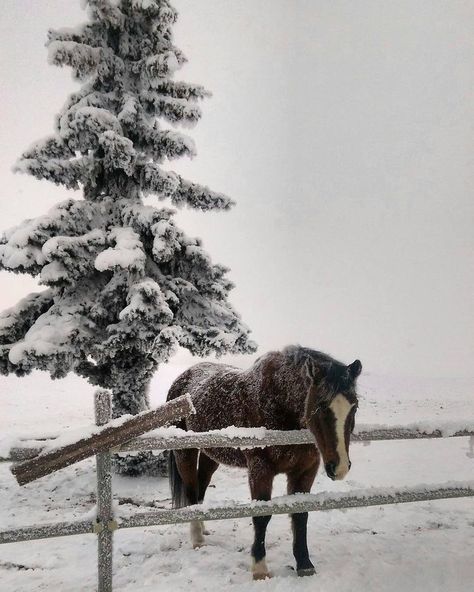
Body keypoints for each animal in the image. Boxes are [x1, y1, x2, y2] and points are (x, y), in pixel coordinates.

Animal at [168, 344, 362, 580]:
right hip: (185, 452)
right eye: (321, 406)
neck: (279, 403)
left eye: (354, 407)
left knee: (201, 488)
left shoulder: (306, 470)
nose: (340, 467)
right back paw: (197, 539)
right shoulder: (260, 470)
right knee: (191, 490)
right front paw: (260, 568)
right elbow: (262, 517)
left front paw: (304, 564)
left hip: (210, 456)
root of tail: (182, 378)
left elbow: (301, 515)